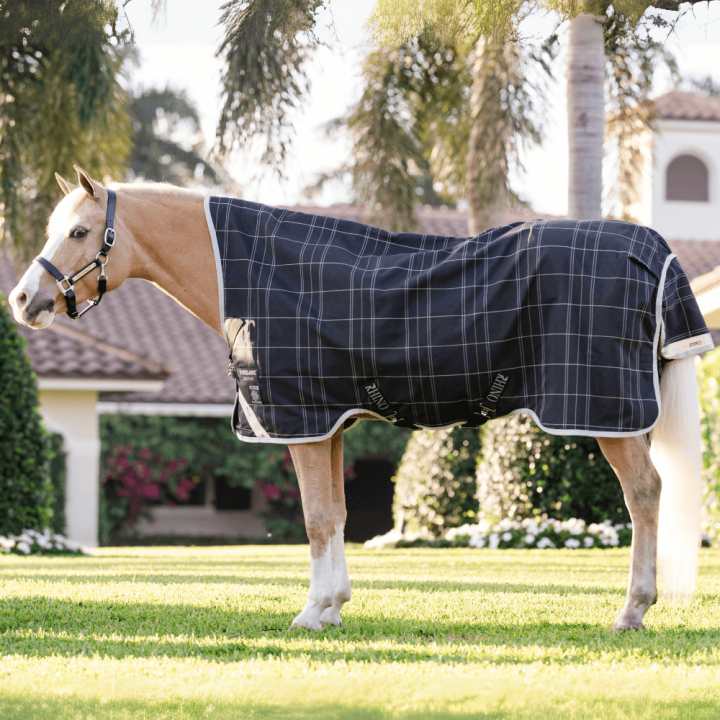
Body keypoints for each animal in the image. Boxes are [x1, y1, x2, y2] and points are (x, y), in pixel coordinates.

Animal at [8, 166, 707, 632]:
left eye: (79, 231)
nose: (22, 300)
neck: (252, 272)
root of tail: (653, 250)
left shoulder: (300, 421)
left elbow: (317, 517)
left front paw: (312, 612)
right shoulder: (332, 423)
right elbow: (338, 514)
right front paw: (334, 607)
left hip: (609, 414)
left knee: (644, 493)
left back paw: (632, 611)